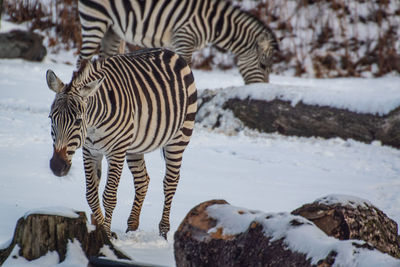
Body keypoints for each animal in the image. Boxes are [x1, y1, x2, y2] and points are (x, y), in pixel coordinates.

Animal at [46, 48, 198, 241]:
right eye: (51, 118)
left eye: (78, 121)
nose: (57, 167)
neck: (93, 125)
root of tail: (171, 52)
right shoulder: (90, 151)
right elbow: (91, 195)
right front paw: (101, 230)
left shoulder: (116, 151)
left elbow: (109, 196)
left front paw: (106, 236)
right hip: (134, 147)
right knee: (143, 180)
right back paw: (132, 226)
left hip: (179, 138)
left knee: (170, 182)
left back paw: (163, 231)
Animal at [77, 0, 278, 84]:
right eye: (263, 66)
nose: (261, 89)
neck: (214, 23)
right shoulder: (185, 38)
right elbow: (186, 69)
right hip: (95, 19)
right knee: (82, 61)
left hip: (113, 29)